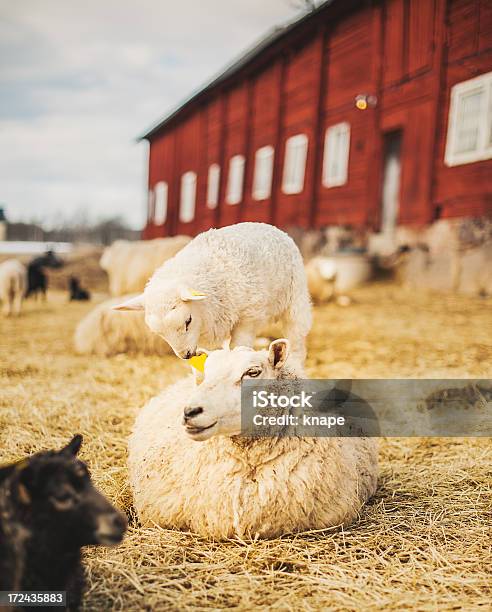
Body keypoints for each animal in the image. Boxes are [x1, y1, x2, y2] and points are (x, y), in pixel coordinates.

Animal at [114, 221, 312, 360]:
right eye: (159, 333)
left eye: (188, 321)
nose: (186, 355)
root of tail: (272, 227)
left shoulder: (248, 316)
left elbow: (240, 345)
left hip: (296, 299)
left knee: (297, 340)